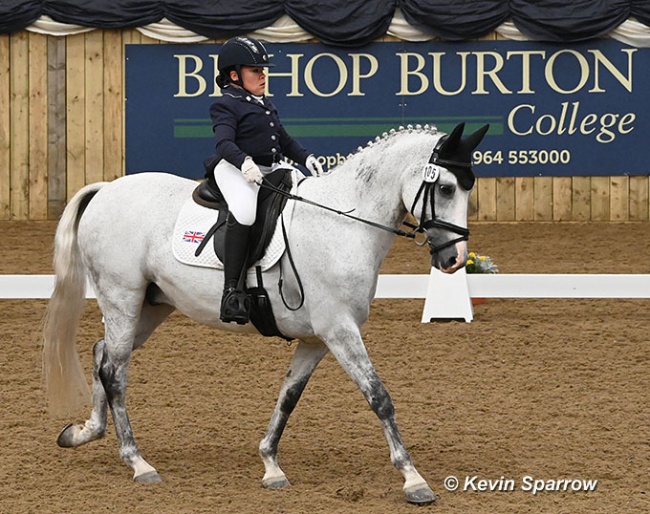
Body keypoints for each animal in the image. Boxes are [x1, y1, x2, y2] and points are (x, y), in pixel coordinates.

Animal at [41, 122, 486, 502]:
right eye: (446, 188)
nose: (454, 260)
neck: (343, 224)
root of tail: (106, 189)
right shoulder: (339, 330)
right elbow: (379, 397)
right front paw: (413, 479)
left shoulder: (316, 339)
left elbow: (288, 397)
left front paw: (270, 464)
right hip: (122, 296)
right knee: (116, 373)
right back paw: (138, 462)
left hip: (149, 307)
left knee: (102, 355)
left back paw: (84, 432)